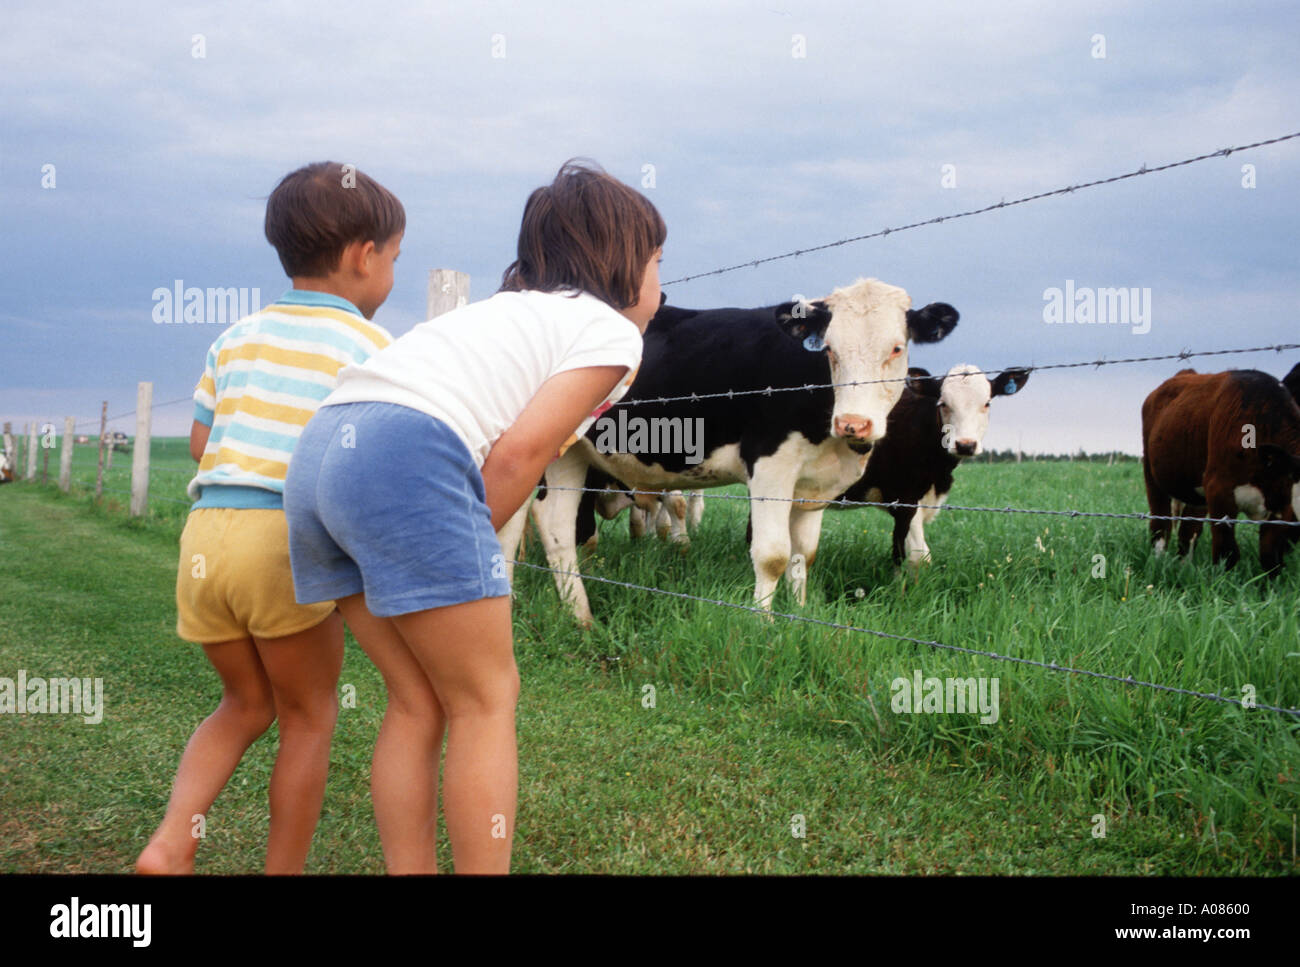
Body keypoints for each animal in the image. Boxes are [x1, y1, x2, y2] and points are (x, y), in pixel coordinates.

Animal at [501, 275, 961, 623]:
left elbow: (804, 555)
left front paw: (800, 614)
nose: (854, 423)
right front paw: (763, 626)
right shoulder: (771, 467)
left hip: (569, 453)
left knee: (556, 526)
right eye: (830, 349)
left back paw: (580, 617)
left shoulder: (815, 485)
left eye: (896, 348)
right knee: (512, 522)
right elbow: (773, 555)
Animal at [1144, 366, 1300, 569]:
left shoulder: (1279, 507)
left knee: (1188, 531)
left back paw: (1184, 567)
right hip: (1153, 478)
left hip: (1196, 491)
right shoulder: (1219, 492)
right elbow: (1227, 552)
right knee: (1160, 526)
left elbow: (1270, 557)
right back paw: (1158, 562)